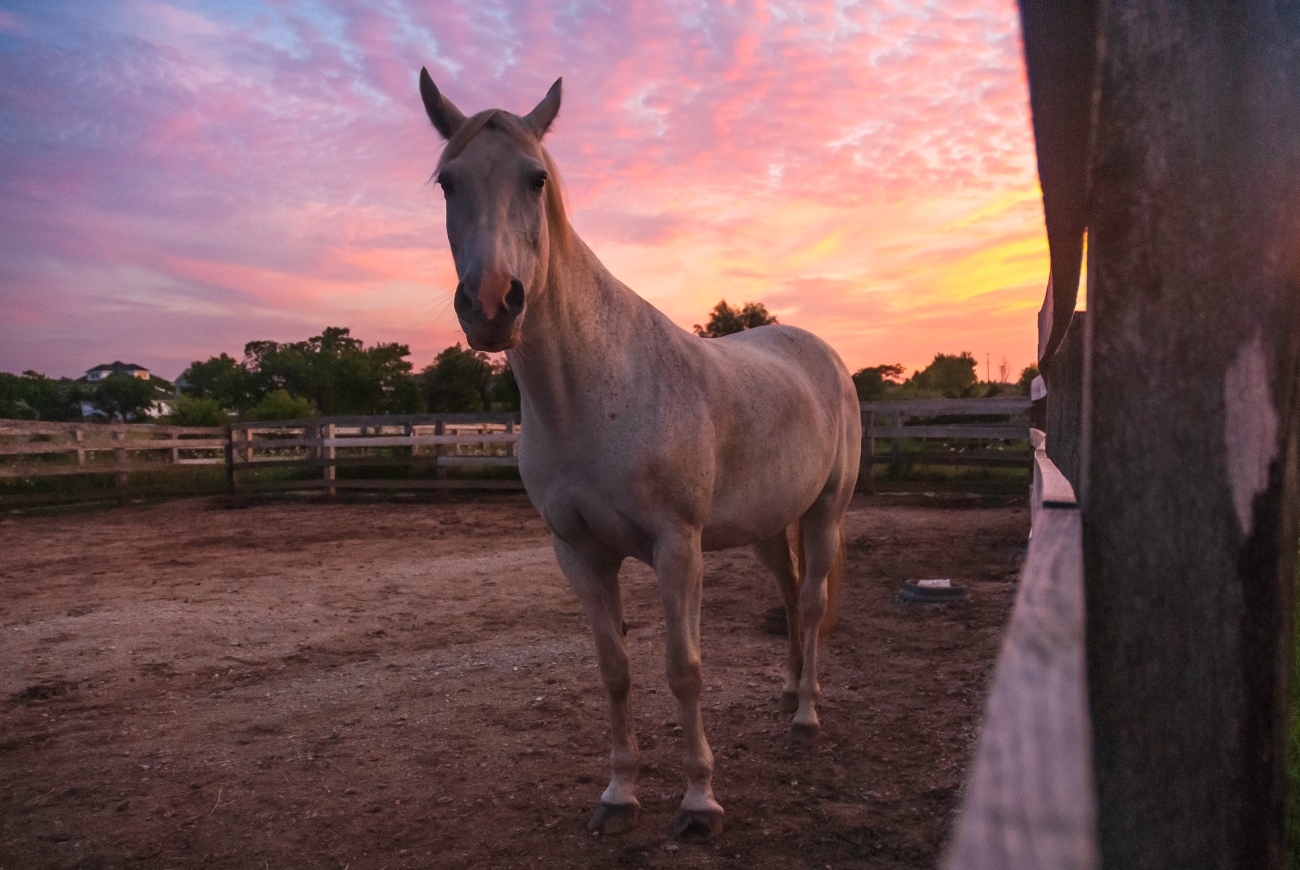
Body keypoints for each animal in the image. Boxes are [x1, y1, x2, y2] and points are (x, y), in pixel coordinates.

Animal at [418, 69, 863, 842]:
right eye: (448, 182)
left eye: (536, 178)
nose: (492, 304)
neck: (593, 391)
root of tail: (823, 355)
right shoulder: (579, 552)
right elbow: (615, 669)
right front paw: (620, 793)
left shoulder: (675, 547)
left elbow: (683, 668)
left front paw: (699, 802)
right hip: (769, 525)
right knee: (786, 592)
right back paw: (785, 691)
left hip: (825, 514)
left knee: (810, 604)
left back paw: (806, 714)